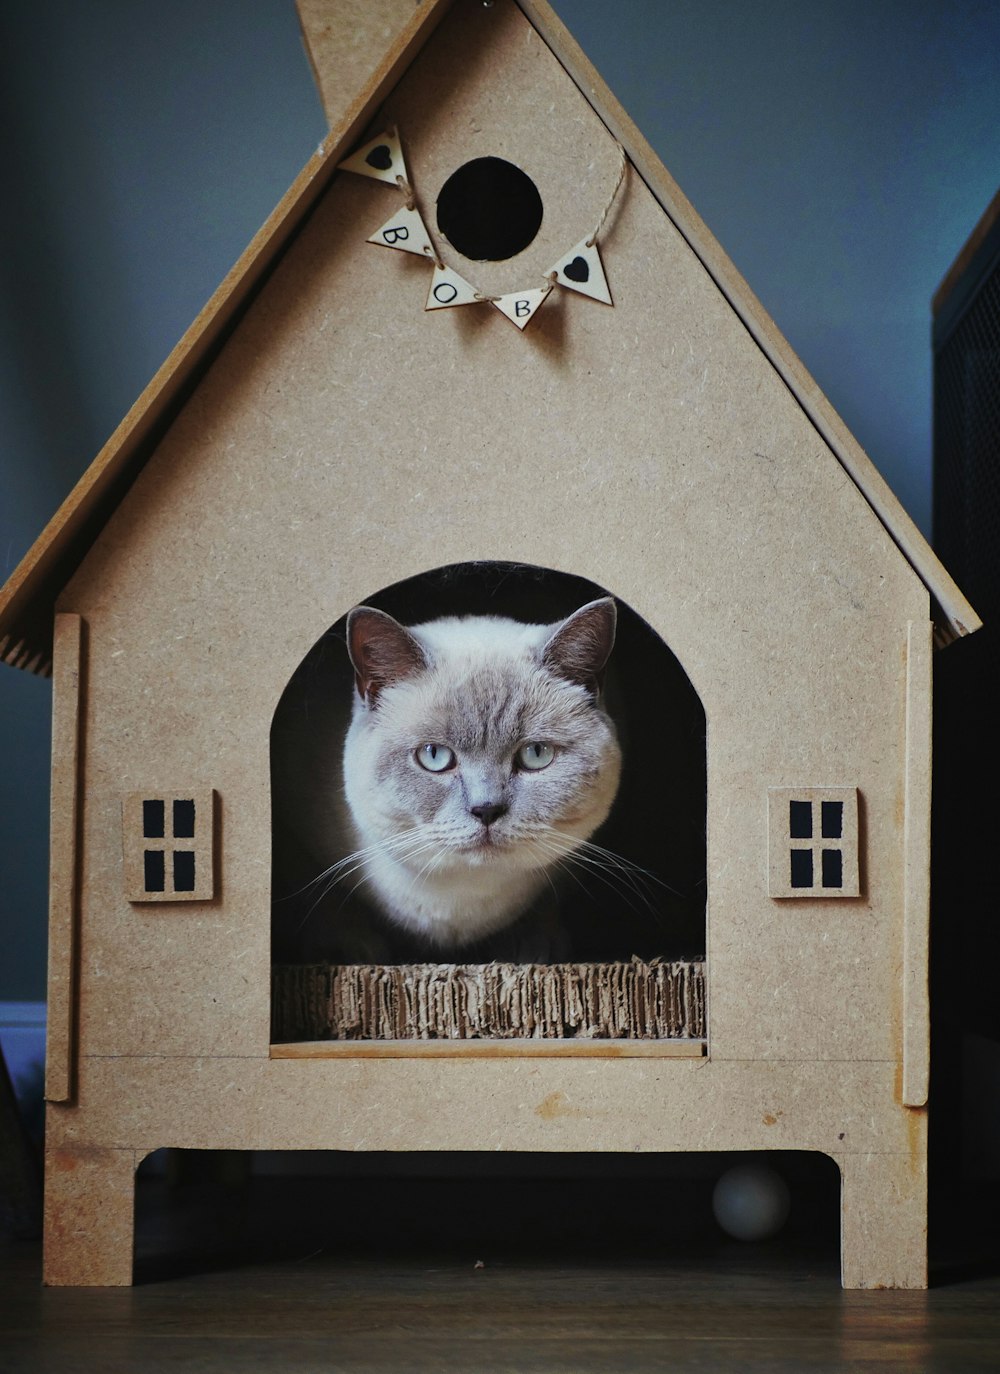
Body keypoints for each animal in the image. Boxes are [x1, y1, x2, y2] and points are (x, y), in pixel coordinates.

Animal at [269, 596, 620, 961]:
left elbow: (546, 906)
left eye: (535, 754)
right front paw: (347, 951)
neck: (458, 903)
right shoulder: (295, 840)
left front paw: (534, 949)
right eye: (434, 756)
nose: (486, 810)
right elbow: (324, 902)